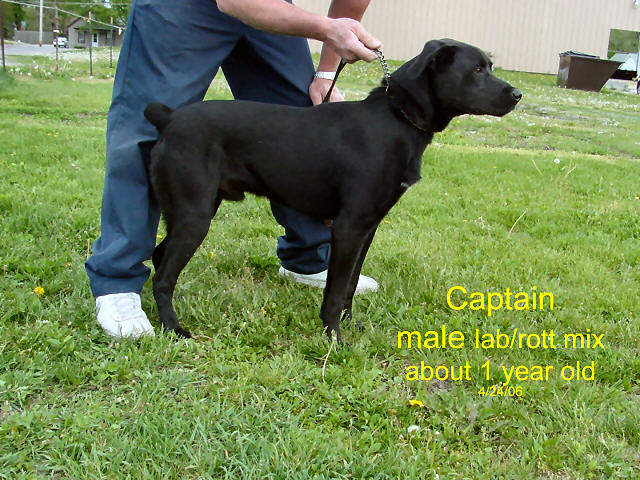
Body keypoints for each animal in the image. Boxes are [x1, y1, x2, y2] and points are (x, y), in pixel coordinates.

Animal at [144, 39, 521, 341]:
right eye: (476, 69)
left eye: (489, 66)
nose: (518, 95)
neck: (397, 119)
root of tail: (170, 119)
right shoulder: (349, 227)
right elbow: (336, 289)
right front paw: (333, 336)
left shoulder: (368, 228)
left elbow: (350, 285)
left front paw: (350, 324)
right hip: (195, 214)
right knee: (163, 276)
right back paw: (173, 328)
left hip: (192, 210)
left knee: (160, 257)